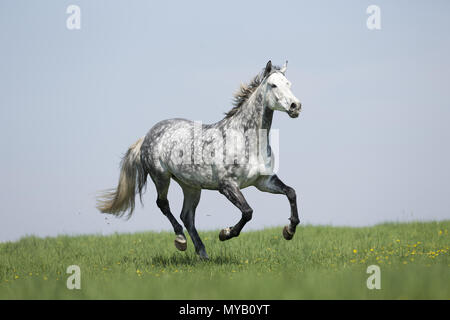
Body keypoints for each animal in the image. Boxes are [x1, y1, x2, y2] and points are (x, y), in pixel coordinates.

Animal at [98, 60, 302, 260]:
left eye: (289, 84)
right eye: (273, 85)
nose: (295, 106)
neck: (246, 141)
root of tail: (147, 136)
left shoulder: (263, 181)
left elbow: (291, 192)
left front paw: (289, 231)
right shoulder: (227, 186)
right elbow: (247, 212)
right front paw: (225, 233)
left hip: (191, 187)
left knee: (187, 216)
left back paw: (202, 252)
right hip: (161, 177)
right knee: (163, 205)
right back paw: (181, 240)